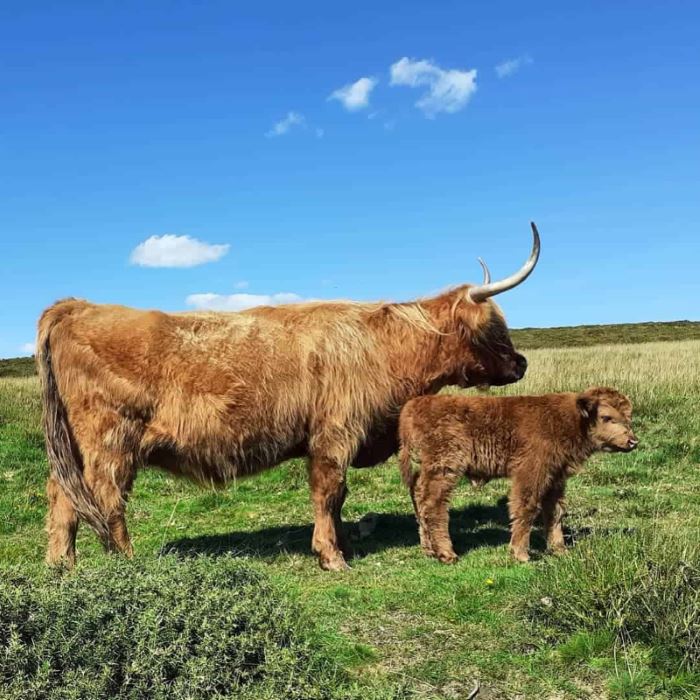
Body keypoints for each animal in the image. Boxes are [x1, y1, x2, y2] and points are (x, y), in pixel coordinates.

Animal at [400, 388, 636, 564]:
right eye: (606, 417)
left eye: (628, 417)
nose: (633, 441)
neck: (567, 420)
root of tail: (416, 405)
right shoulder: (530, 473)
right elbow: (526, 507)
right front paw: (521, 554)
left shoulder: (555, 478)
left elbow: (555, 512)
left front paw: (559, 550)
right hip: (444, 468)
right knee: (434, 506)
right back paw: (447, 554)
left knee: (419, 501)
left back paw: (429, 550)